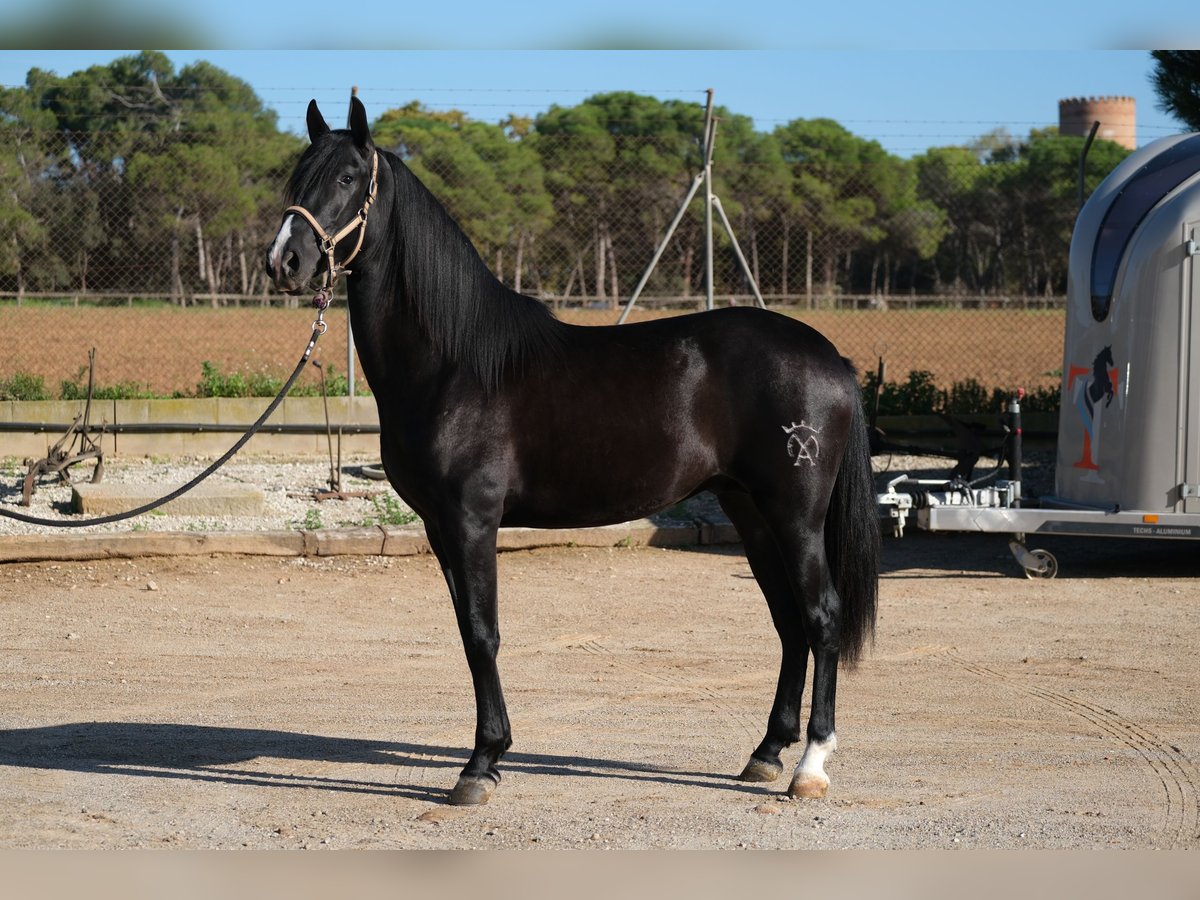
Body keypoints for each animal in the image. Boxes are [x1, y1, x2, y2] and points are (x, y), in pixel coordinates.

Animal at [265, 100, 883, 811]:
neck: (453, 364)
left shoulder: (471, 521)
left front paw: (481, 764)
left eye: (346, 178)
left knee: (821, 617)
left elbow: (483, 632)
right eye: (298, 176)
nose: (283, 261)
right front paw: (488, 756)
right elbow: (468, 632)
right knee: (788, 622)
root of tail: (832, 357)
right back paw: (765, 753)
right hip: (749, 511)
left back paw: (810, 766)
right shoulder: (440, 527)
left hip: (796, 514)